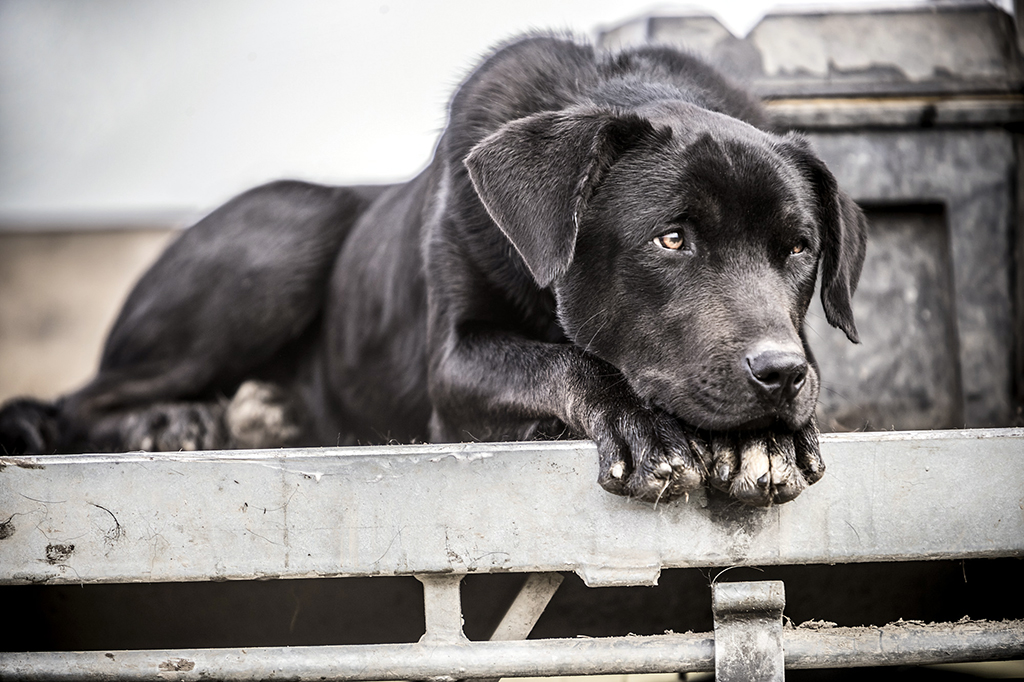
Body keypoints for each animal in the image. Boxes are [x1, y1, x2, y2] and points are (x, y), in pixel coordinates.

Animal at [0, 34, 866, 507]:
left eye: (798, 250)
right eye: (672, 240)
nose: (779, 374)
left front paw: (767, 442)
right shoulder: (455, 364)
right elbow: (564, 361)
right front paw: (644, 426)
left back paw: (260, 414)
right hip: (292, 231)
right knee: (77, 400)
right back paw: (167, 423)